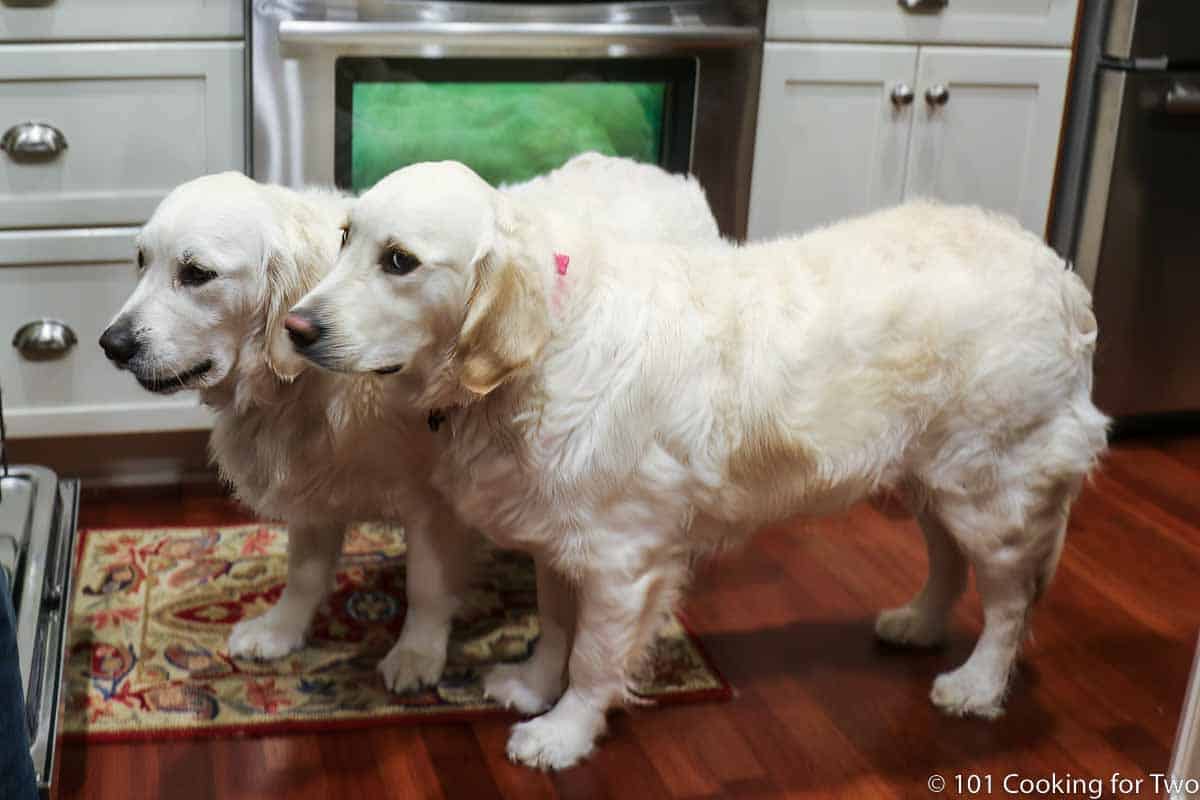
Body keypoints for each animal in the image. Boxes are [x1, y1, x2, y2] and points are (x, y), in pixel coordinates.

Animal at [98, 154, 720, 695]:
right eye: (140, 260)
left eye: (196, 273)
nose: (112, 344)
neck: (306, 386)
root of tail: (666, 175)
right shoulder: (313, 486)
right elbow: (304, 572)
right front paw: (281, 631)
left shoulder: (435, 501)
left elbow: (426, 586)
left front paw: (417, 655)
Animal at [288, 160, 1104, 767]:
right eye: (344, 236)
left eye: (399, 261)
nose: (295, 327)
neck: (543, 349)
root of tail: (1057, 272)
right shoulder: (559, 537)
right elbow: (555, 628)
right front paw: (530, 686)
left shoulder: (622, 560)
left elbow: (595, 657)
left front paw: (563, 734)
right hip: (930, 477)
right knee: (948, 561)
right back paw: (919, 623)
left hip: (993, 488)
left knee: (1010, 602)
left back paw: (976, 685)